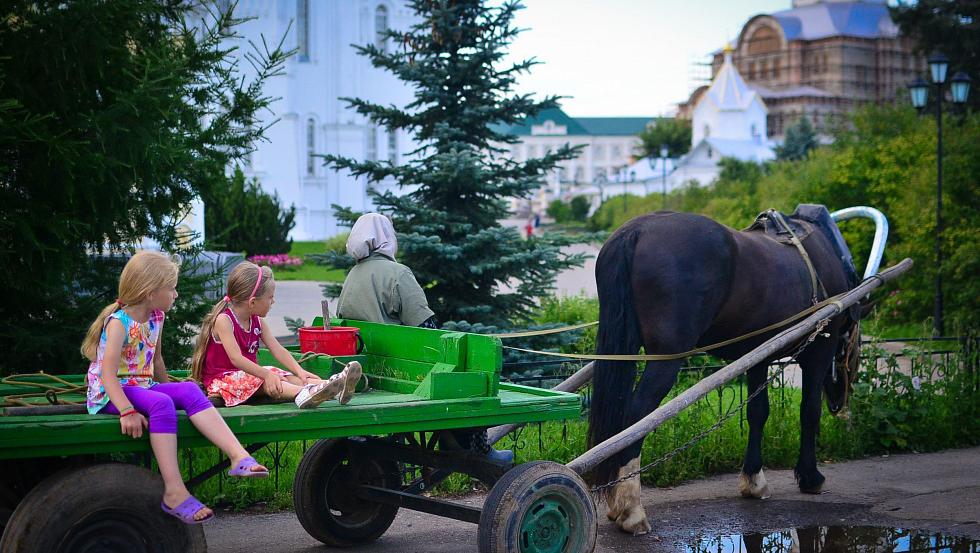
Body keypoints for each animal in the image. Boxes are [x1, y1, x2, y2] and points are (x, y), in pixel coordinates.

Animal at [584, 204, 860, 536]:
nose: (842, 403)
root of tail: (635, 231)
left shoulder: (758, 357)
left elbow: (757, 412)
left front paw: (754, 480)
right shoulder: (819, 351)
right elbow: (809, 412)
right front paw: (810, 476)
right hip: (666, 358)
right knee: (636, 417)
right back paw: (631, 508)